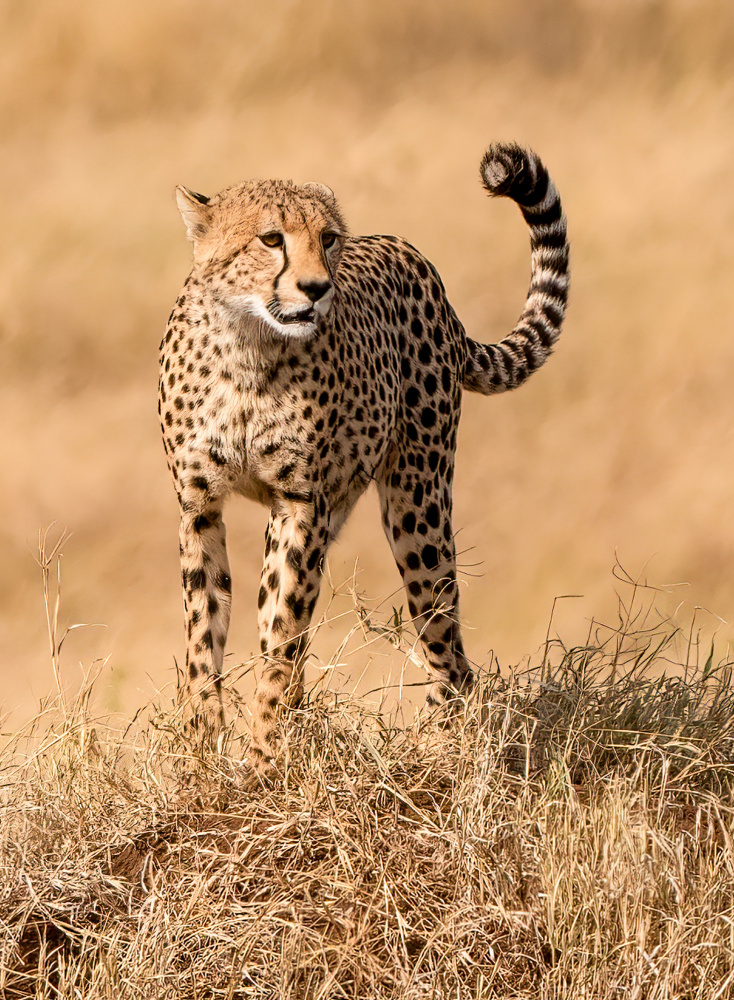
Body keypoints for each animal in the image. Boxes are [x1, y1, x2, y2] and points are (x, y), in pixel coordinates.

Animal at [158, 141, 569, 766]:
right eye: (271, 238)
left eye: (327, 238)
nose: (316, 288)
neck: (247, 346)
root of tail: (413, 256)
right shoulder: (200, 506)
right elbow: (205, 636)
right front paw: (202, 752)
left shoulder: (301, 503)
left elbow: (281, 641)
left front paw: (264, 758)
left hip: (416, 504)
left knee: (448, 648)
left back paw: (436, 748)